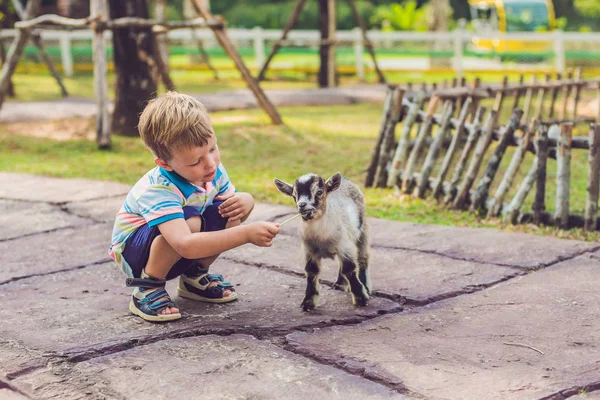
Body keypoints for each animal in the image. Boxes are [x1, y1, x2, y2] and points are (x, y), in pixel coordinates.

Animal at [274, 170, 368, 310]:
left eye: (319, 192)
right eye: (294, 195)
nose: (302, 205)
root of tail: (345, 180)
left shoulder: (345, 246)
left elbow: (349, 269)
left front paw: (361, 298)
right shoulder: (309, 251)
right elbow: (311, 271)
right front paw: (308, 302)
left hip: (362, 231)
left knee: (363, 258)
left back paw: (366, 286)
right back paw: (340, 284)